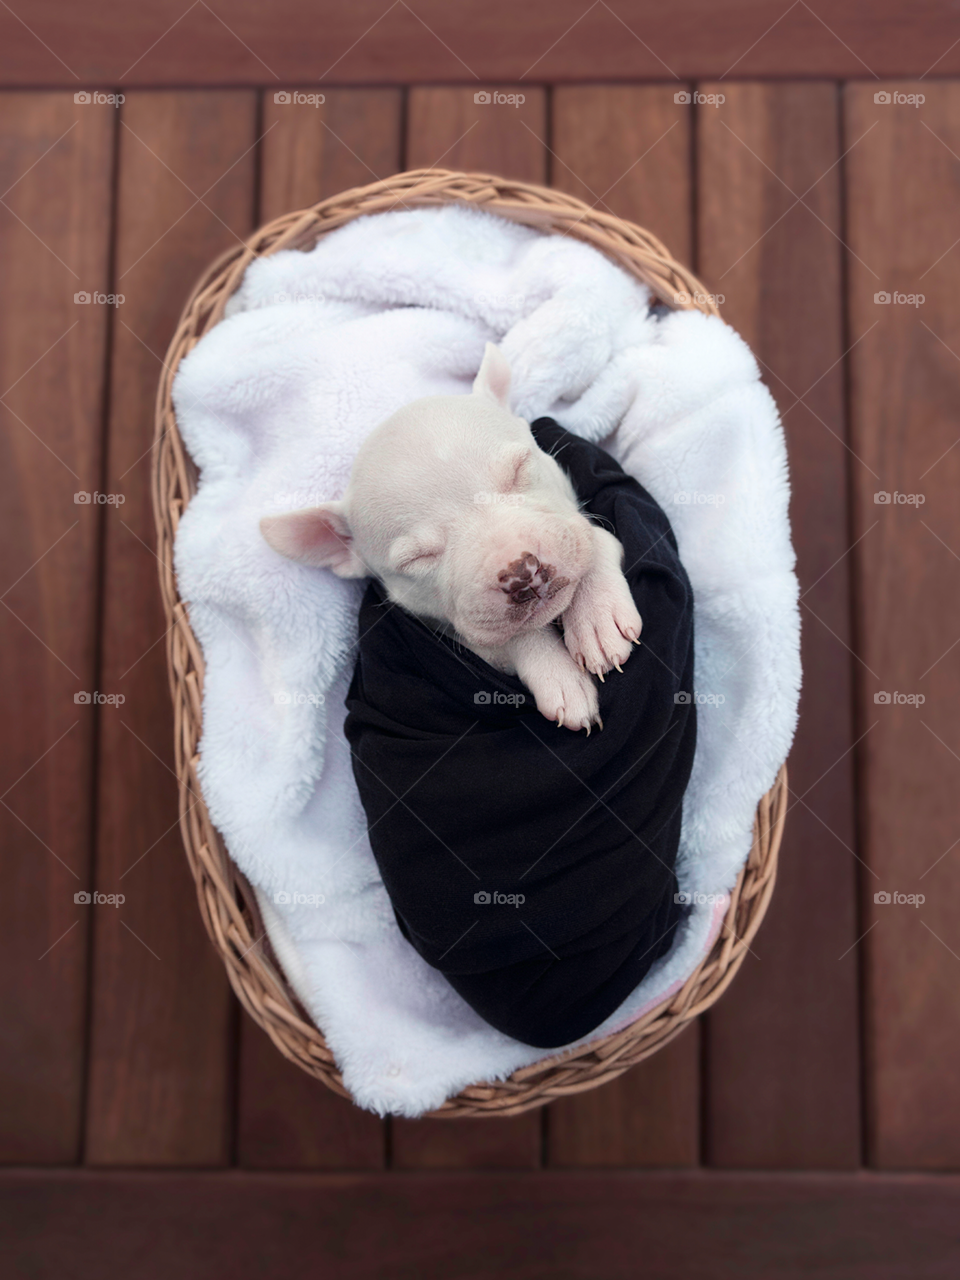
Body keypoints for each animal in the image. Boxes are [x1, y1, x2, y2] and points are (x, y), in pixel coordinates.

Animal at [259, 345, 642, 737]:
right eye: (418, 559)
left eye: (519, 469)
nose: (521, 572)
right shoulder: (470, 641)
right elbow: (509, 636)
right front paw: (559, 676)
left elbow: (592, 539)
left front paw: (595, 616)